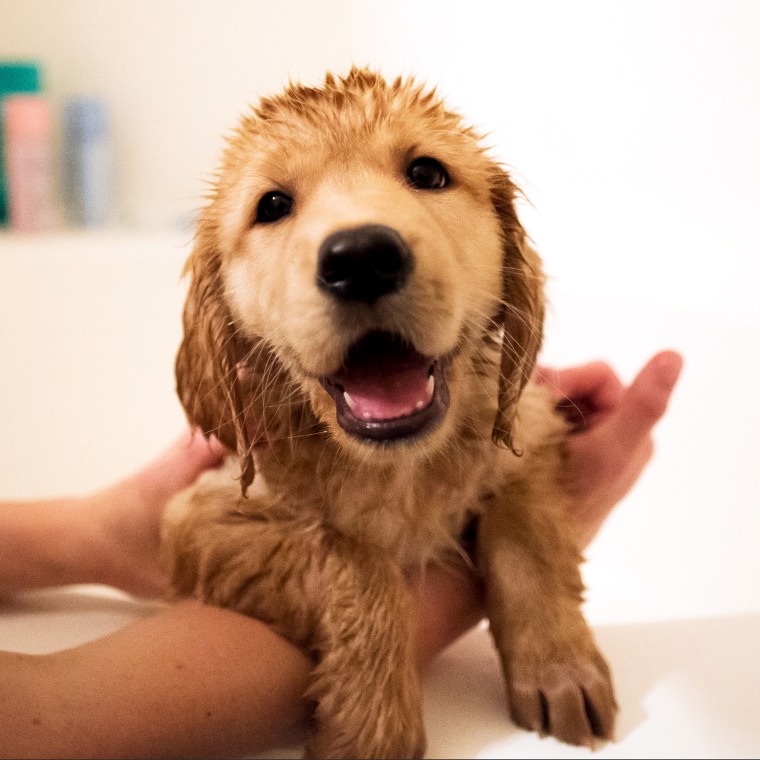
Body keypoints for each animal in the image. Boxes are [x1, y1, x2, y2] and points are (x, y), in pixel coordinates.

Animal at [162, 68, 616, 756]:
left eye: (427, 173)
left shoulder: (531, 430)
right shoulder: (195, 519)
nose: (360, 257)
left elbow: (523, 529)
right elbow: (355, 560)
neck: (398, 469)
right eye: (272, 206)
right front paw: (373, 725)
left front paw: (559, 667)